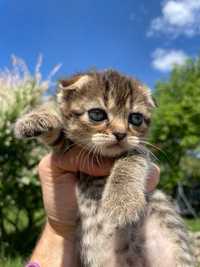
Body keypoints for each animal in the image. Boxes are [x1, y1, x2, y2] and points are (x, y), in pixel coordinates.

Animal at [14, 70, 195, 266]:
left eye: (136, 118)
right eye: (97, 114)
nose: (121, 134)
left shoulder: (141, 149)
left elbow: (131, 159)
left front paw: (121, 200)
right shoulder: (68, 150)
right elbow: (58, 136)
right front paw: (37, 119)